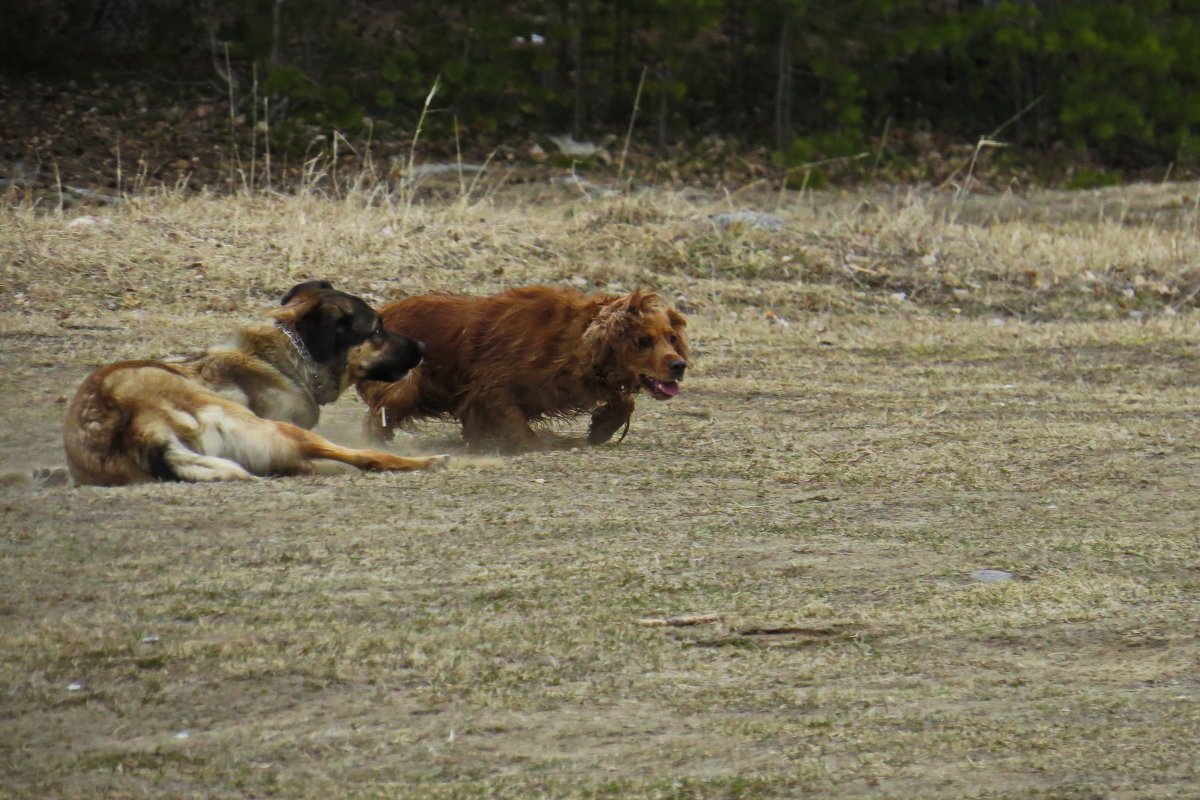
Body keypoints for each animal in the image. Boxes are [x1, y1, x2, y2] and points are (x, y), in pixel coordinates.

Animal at [62, 278, 446, 484]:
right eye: (377, 329)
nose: (424, 347)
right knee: (366, 458)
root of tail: (141, 428)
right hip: (270, 429)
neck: (283, 356)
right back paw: (425, 461)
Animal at [355, 286, 691, 450]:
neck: (573, 340)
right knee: (379, 415)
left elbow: (625, 402)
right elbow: (512, 419)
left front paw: (602, 426)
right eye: (642, 340)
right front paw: (533, 442)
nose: (679, 365)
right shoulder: (492, 383)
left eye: (672, 338)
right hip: (408, 384)